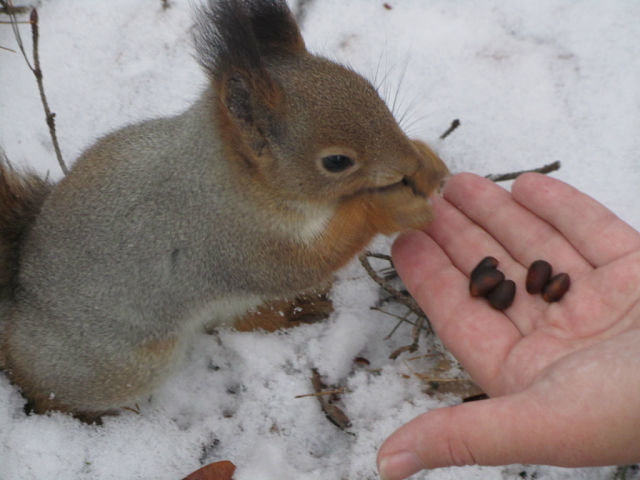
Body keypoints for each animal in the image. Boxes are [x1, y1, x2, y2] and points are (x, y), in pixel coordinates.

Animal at [0, 0, 448, 420]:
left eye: (369, 88)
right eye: (336, 162)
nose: (408, 162)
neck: (231, 178)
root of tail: (20, 301)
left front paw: (428, 162)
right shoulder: (229, 242)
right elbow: (298, 267)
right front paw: (386, 206)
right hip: (121, 366)